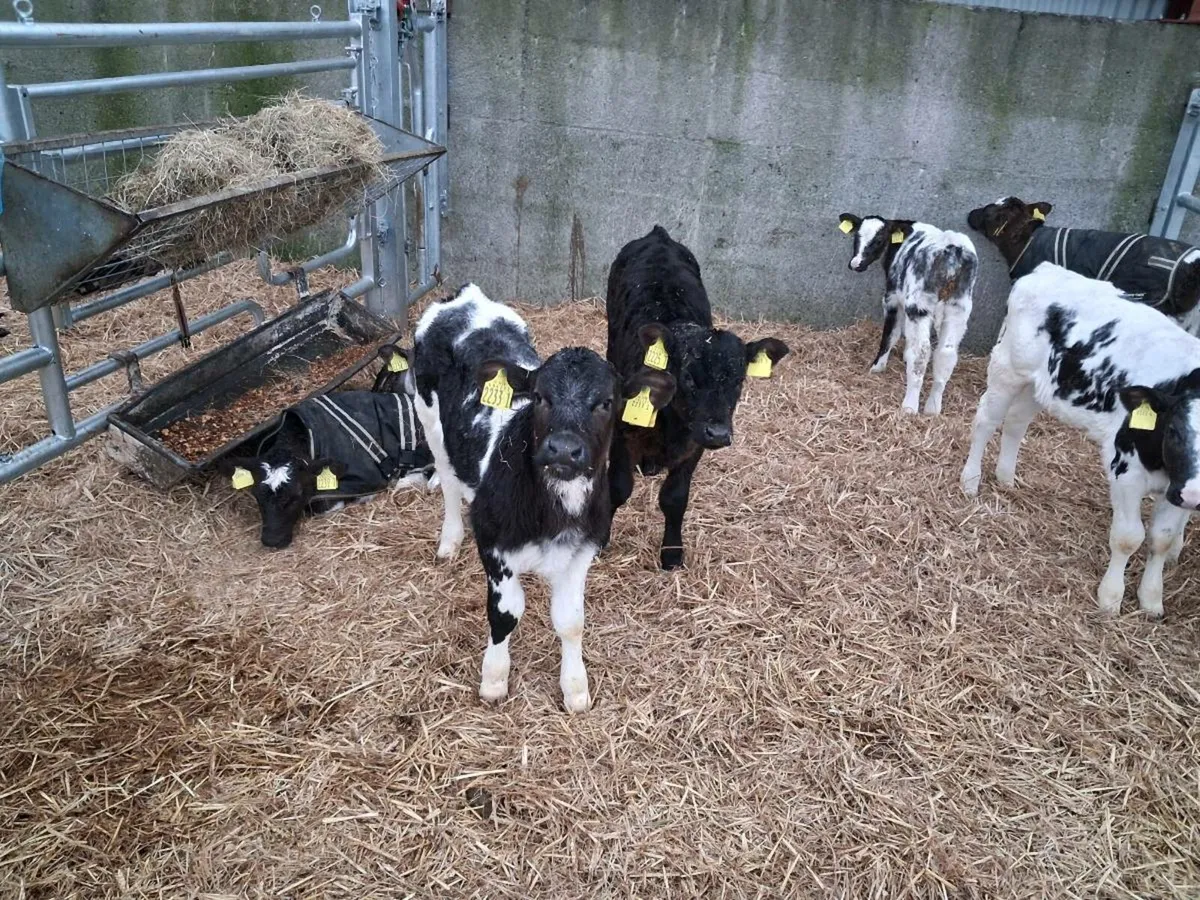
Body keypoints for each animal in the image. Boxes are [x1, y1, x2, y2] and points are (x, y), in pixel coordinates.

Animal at [412, 283, 674, 711]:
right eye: (539, 397)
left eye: (606, 402)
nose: (563, 450)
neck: (553, 511)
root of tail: (466, 297)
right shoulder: (493, 543)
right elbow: (505, 614)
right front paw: (494, 679)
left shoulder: (582, 550)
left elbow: (571, 621)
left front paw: (575, 688)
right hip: (429, 417)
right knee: (449, 480)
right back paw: (449, 540)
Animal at [605, 225, 790, 571]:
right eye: (689, 377)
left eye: (738, 380)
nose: (717, 432)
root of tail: (658, 235)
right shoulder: (624, 433)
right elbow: (619, 488)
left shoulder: (694, 445)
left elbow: (675, 498)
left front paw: (672, 553)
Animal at [838, 213, 979, 415]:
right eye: (857, 236)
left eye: (879, 240)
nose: (856, 264)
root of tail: (951, 248)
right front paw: (904, 355)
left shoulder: (892, 298)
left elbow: (891, 334)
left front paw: (877, 367)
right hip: (958, 308)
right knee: (946, 352)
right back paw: (932, 408)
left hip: (919, 304)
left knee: (922, 351)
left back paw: (910, 406)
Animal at [960, 263, 1200, 619]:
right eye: (1174, 430)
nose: (1195, 495)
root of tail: (1046, 270)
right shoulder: (1125, 469)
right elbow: (1129, 537)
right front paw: (1111, 598)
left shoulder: (1177, 485)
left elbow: (1162, 539)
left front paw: (1151, 599)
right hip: (1007, 368)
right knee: (986, 420)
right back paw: (970, 480)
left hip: (1041, 386)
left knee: (1016, 421)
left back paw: (1006, 478)